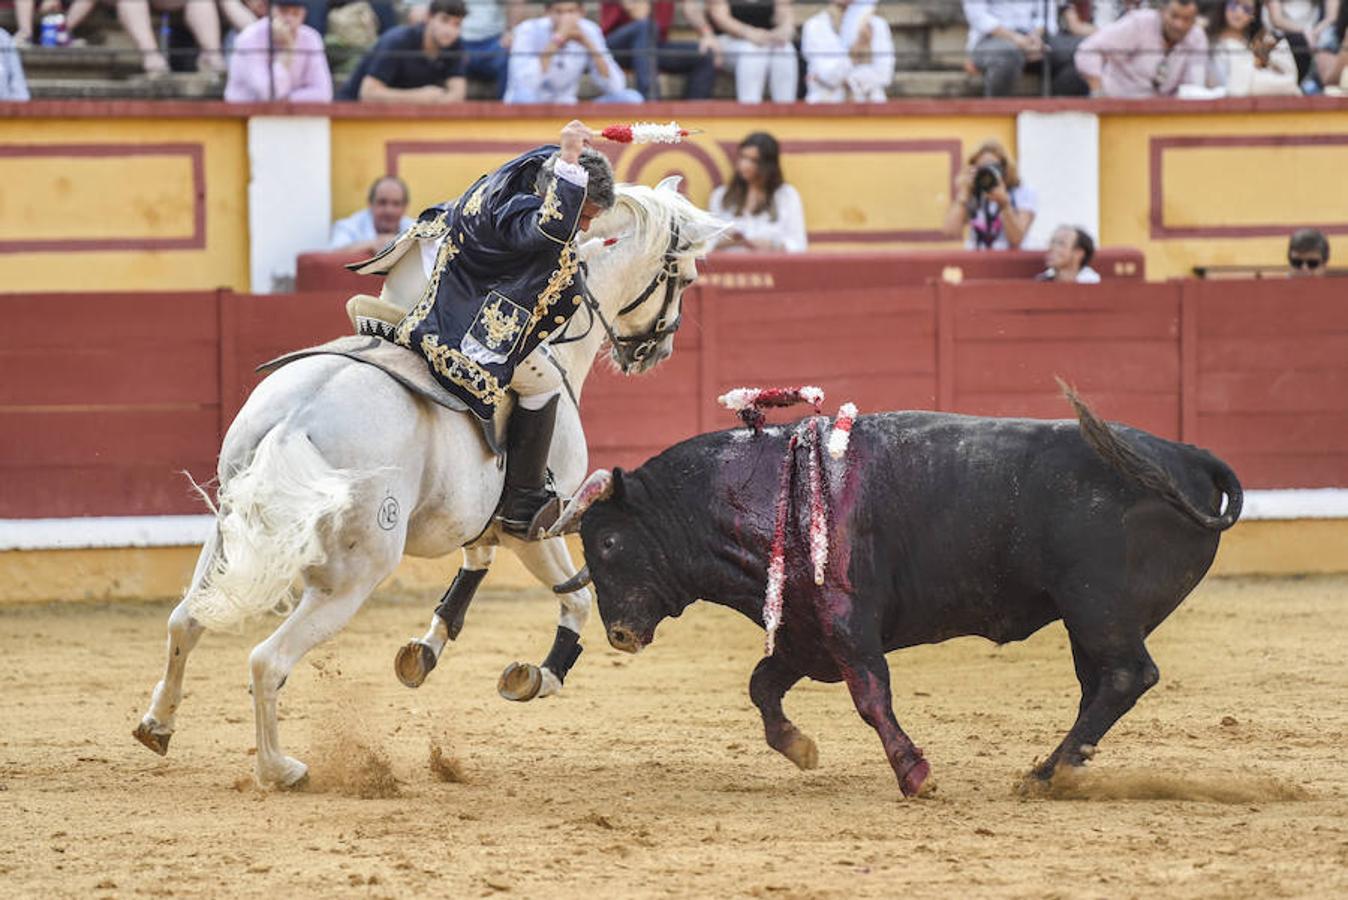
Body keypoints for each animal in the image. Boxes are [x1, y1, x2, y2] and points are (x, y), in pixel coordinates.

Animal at [134, 179, 727, 781]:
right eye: (687, 278)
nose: (656, 351)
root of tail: (298, 419)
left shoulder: (475, 520)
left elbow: (475, 565)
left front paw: (425, 650)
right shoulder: (537, 526)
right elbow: (576, 597)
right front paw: (538, 676)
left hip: (228, 536)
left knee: (185, 621)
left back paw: (157, 726)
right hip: (353, 576)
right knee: (266, 660)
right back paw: (281, 769)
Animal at [566, 390, 1240, 797]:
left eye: (607, 543)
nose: (618, 634)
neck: (762, 490)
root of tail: (1189, 455)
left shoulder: (846, 625)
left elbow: (871, 697)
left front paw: (915, 775)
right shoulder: (805, 635)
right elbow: (762, 684)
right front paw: (800, 749)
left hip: (1097, 608)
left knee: (1125, 676)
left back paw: (1044, 775)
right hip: (1087, 620)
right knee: (1103, 685)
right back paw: (1056, 772)